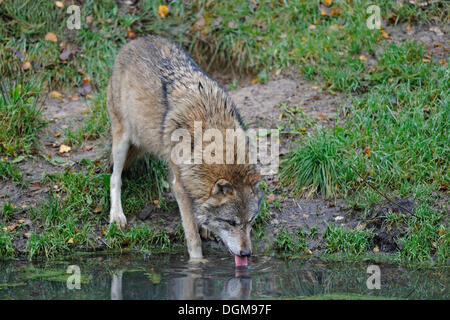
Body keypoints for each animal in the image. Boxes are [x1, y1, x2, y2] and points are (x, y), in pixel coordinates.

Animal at [107, 35, 262, 264]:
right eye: (230, 222)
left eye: (250, 221)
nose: (246, 254)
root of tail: (137, 40)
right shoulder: (182, 184)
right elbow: (191, 235)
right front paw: (197, 262)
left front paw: (203, 226)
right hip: (122, 139)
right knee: (114, 177)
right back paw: (116, 216)